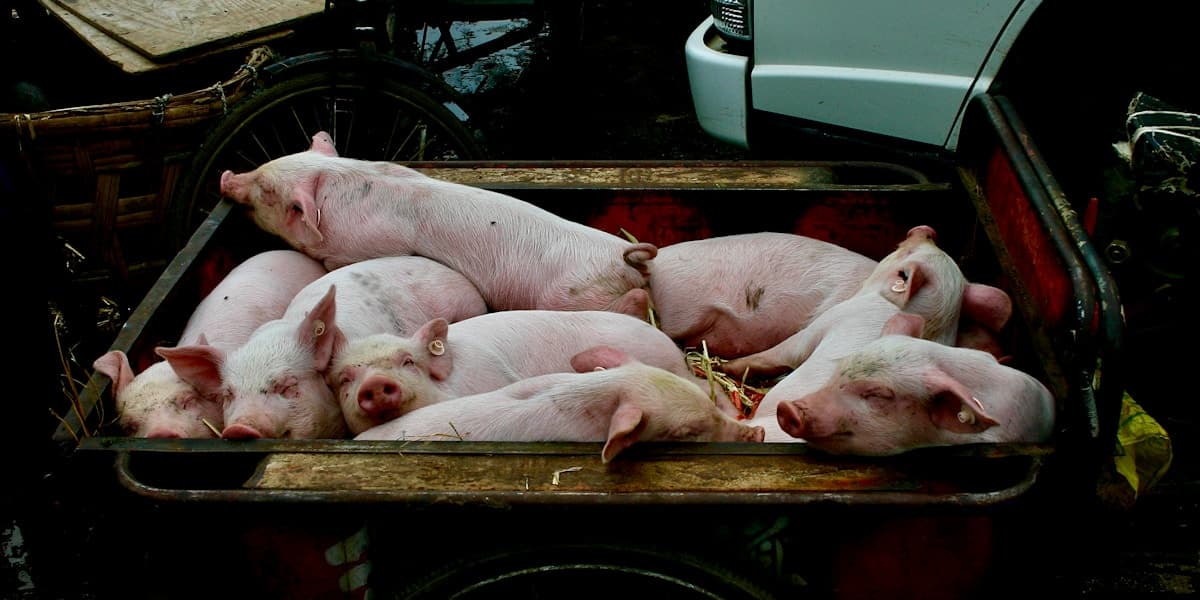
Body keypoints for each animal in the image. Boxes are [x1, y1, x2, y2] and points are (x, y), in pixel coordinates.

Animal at [218, 131, 657, 318]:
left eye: (266, 191)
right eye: (268, 163)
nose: (225, 176)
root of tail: (625, 257)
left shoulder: (361, 250)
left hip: (572, 297)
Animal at [717, 225, 1012, 441]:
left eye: (907, 252)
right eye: (915, 246)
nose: (926, 230)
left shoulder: (832, 320)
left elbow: (781, 352)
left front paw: (727, 366)